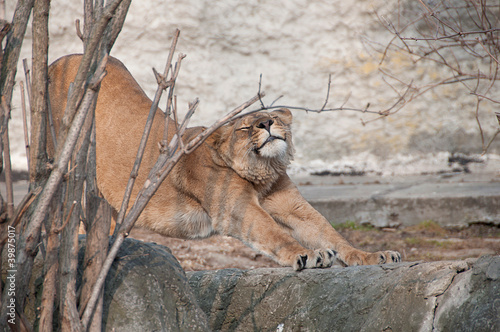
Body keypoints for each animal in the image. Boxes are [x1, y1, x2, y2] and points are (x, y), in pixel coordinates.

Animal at [47, 53, 402, 270]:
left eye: (274, 117)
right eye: (246, 126)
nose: (266, 124)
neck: (263, 173)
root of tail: (61, 60)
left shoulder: (295, 210)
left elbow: (330, 233)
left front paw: (375, 256)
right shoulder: (236, 208)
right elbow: (273, 233)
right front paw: (309, 255)